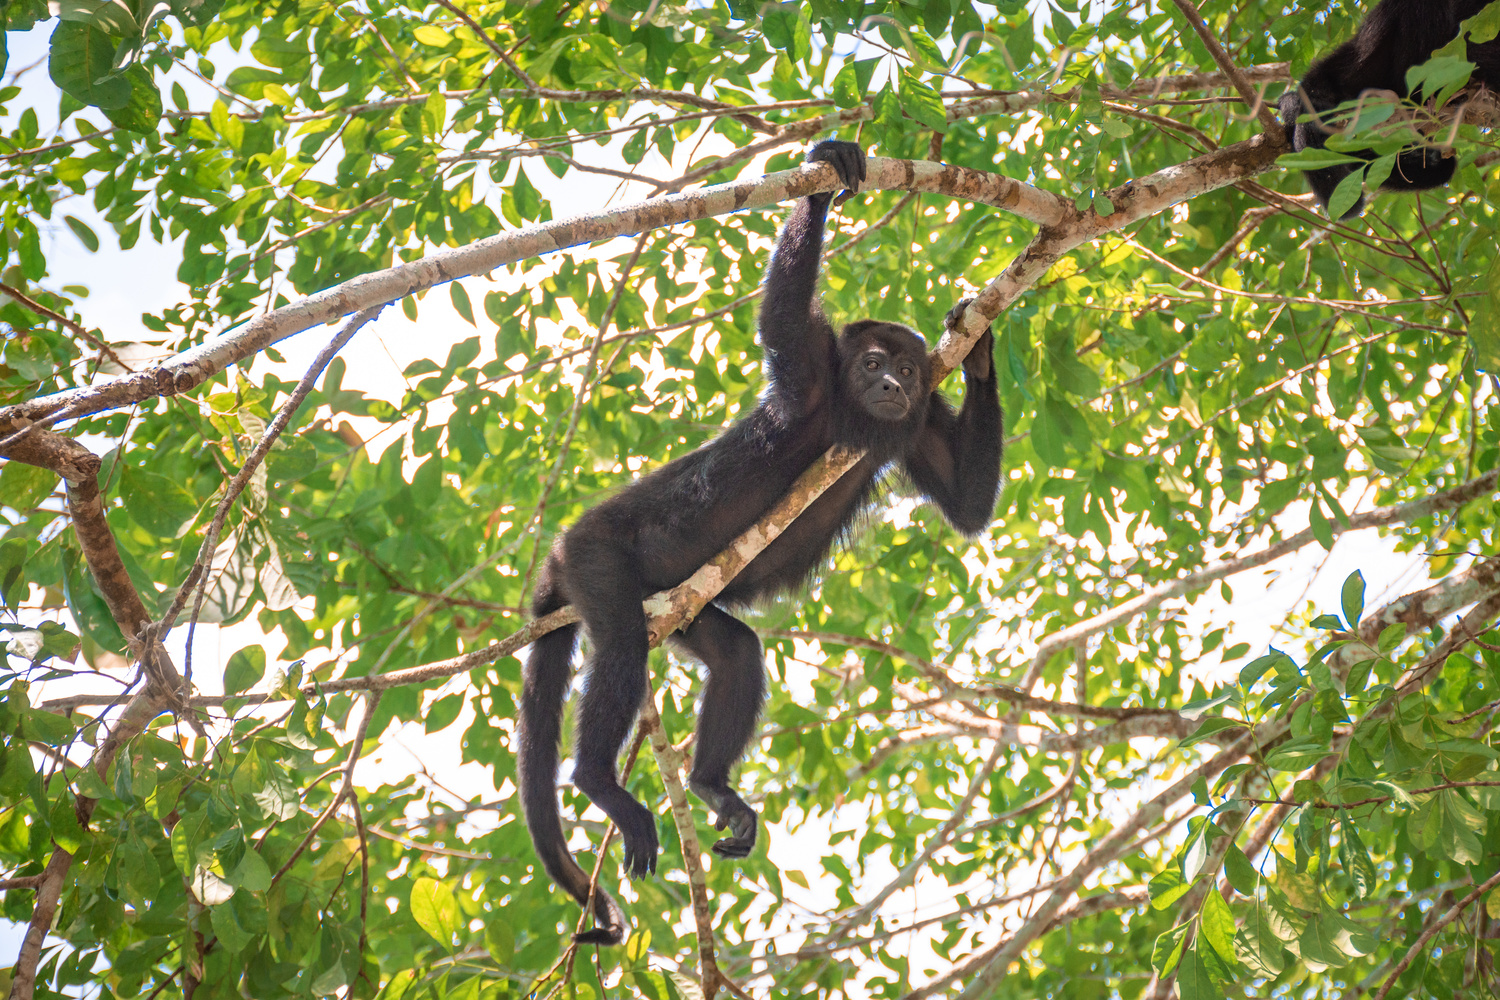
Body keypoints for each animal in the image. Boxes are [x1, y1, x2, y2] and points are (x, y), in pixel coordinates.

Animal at [510, 140, 1002, 947]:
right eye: (872, 363)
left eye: (905, 367)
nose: (893, 386)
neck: (851, 408)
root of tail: (557, 552)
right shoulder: (810, 372)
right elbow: (780, 317)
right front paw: (826, 174)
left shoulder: (920, 420)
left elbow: (967, 507)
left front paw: (982, 347)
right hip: (595, 556)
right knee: (621, 647)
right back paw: (599, 784)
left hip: (677, 608)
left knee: (736, 651)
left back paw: (712, 786)